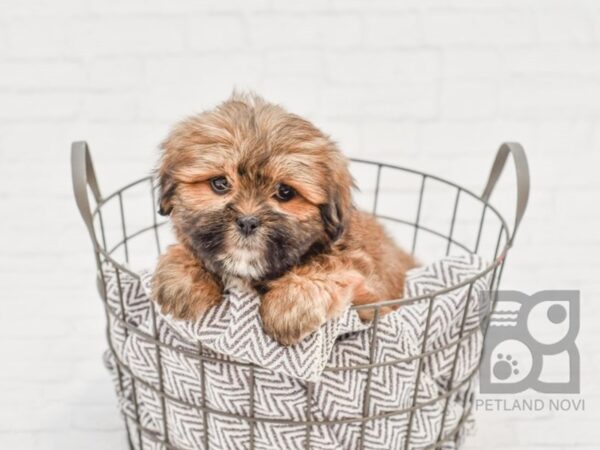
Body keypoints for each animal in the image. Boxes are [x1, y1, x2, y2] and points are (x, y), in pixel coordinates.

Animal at [151, 92, 418, 344]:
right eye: (220, 183)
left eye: (285, 192)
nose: (247, 221)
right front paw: (183, 277)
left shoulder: (371, 297)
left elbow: (332, 265)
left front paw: (287, 306)